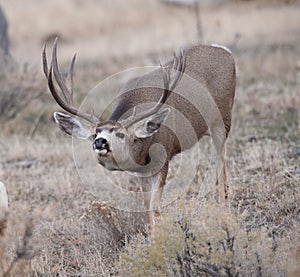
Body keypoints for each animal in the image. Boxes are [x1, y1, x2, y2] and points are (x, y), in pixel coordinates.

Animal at [42, 38, 234, 232]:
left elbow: (154, 207)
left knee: (222, 165)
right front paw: (151, 235)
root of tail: (224, 50)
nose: (100, 142)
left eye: (120, 134)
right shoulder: (142, 171)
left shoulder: (163, 158)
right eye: (94, 134)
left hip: (222, 119)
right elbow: (146, 207)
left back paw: (224, 214)